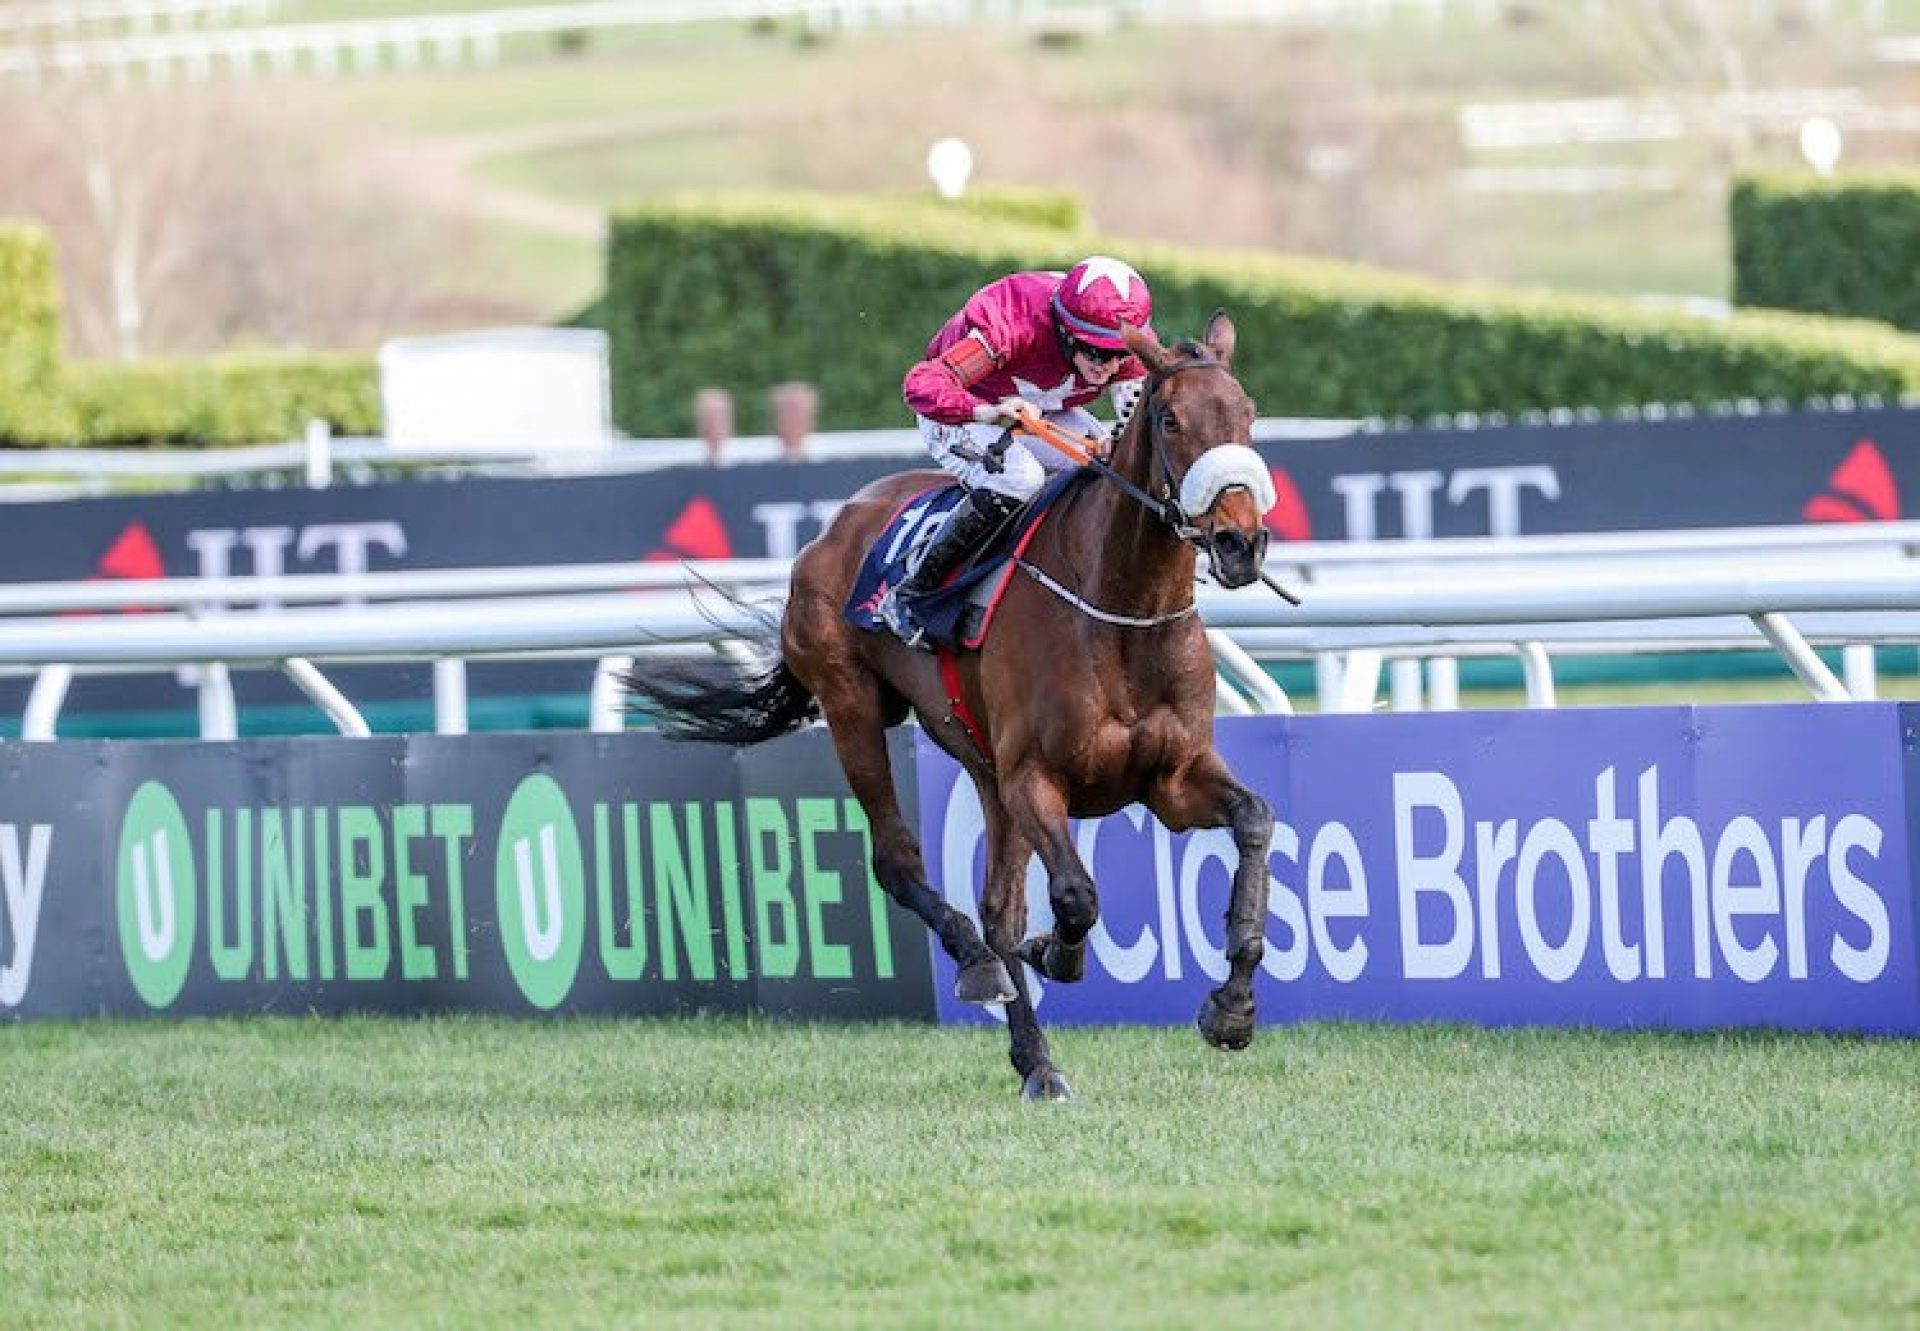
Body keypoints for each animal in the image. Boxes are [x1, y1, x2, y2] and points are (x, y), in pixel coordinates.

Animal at [629, 311, 1282, 1098]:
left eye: (1247, 415)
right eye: (1171, 419)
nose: (1240, 542)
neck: (1122, 608)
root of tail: (833, 528)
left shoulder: (1172, 778)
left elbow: (1254, 820)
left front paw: (1233, 1008)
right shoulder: (1036, 777)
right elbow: (1076, 896)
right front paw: (1057, 954)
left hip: (983, 768)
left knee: (999, 906)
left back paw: (1036, 1060)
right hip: (854, 709)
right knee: (904, 865)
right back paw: (980, 969)